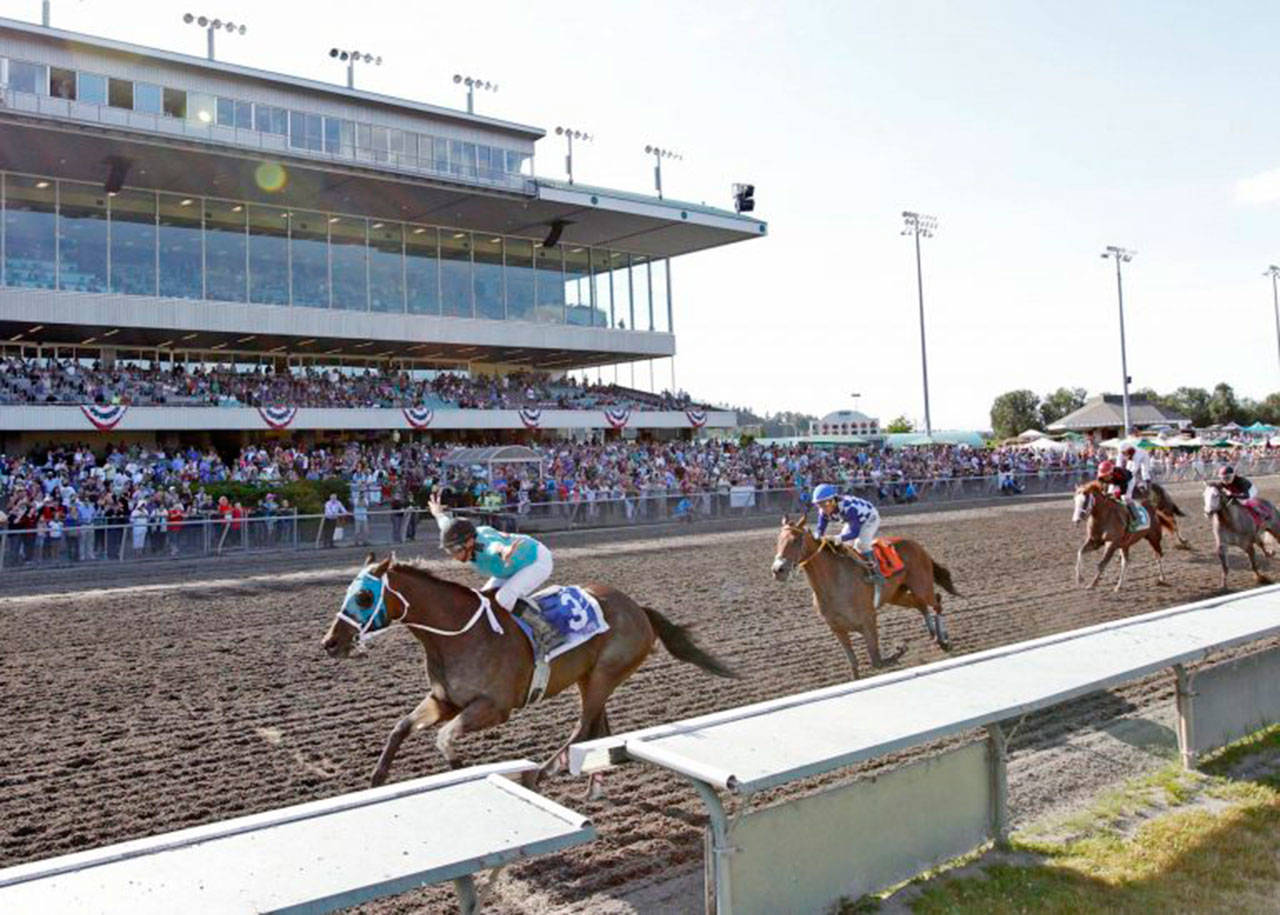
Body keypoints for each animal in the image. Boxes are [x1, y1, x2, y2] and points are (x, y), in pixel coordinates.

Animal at [320, 550, 737, 793]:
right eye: (348, 593)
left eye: (364, 596)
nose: (331, 642)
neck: (457, 636)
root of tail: (639, 608)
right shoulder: (443, 701)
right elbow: (400, 727)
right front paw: (376, 780)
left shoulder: (493, 707)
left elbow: (444, 738)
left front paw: (460, 770)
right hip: (590, 677)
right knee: (597, 727)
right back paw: (594, 783)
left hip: (605, 674)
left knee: (581, 728)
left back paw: (540, 775)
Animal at [768, 504, 962, 675]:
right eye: (778, 540)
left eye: (795, 540)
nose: (778, 570)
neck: (835, 583)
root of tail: (918, 546)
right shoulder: (837, 629)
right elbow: (854, 666)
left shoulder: (868, 620)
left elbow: (877, 662)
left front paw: (900, 649)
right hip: (896, 595)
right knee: (920, 605)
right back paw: (934, 635)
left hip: (921, 586)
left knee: (936, 601)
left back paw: (944, 639)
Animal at [1070, 460, 1172, 591]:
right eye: (1074, 500)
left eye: (1086, 500)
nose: (1076, 519)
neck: (1103, 517)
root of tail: (1152, 508)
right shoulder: (1095, 541)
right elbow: (1080, 552)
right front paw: (1079, 578)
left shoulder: (1111, 543)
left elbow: (1101, 564)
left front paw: (1093, 584)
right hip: (1125, 544)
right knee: (1126, 562)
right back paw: (1119, 585)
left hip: (1153, 538)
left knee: (1158, 555)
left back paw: (1162, 578)